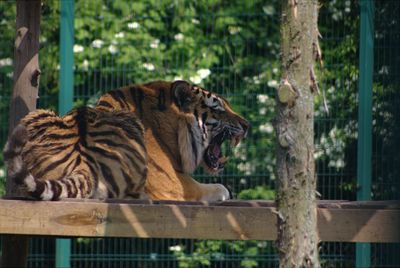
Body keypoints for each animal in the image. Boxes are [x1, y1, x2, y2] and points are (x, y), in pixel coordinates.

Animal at [3, 80, 248, 202]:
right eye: (218, 108)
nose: (247, 125)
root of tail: (83, 161)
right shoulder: (172, 184)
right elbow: (213, 189)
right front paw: (224, 191)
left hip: (36, 115)